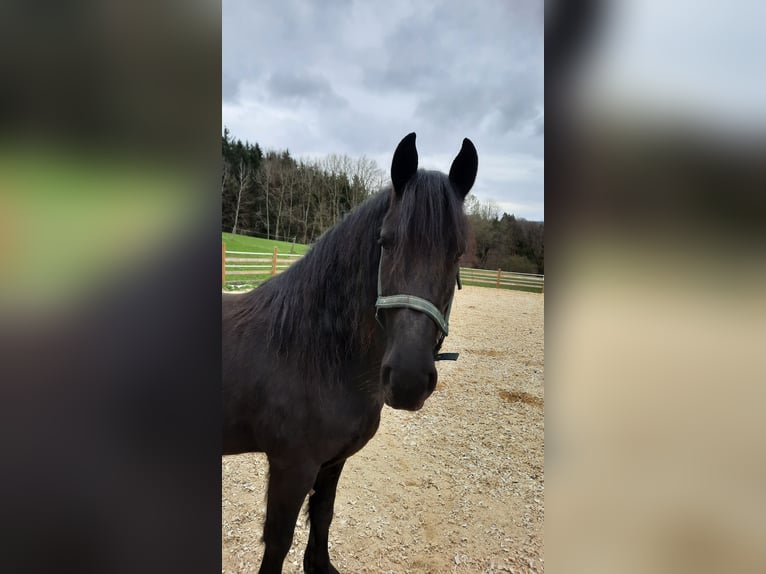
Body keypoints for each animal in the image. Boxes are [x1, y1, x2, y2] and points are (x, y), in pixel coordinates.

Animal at [222, 132, 478, 573]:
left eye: (457, 253)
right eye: (385, 241)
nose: (408, 381)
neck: (315, 354)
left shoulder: (333, 461)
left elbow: (323, 515)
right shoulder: (291, 467)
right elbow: (278, 541)